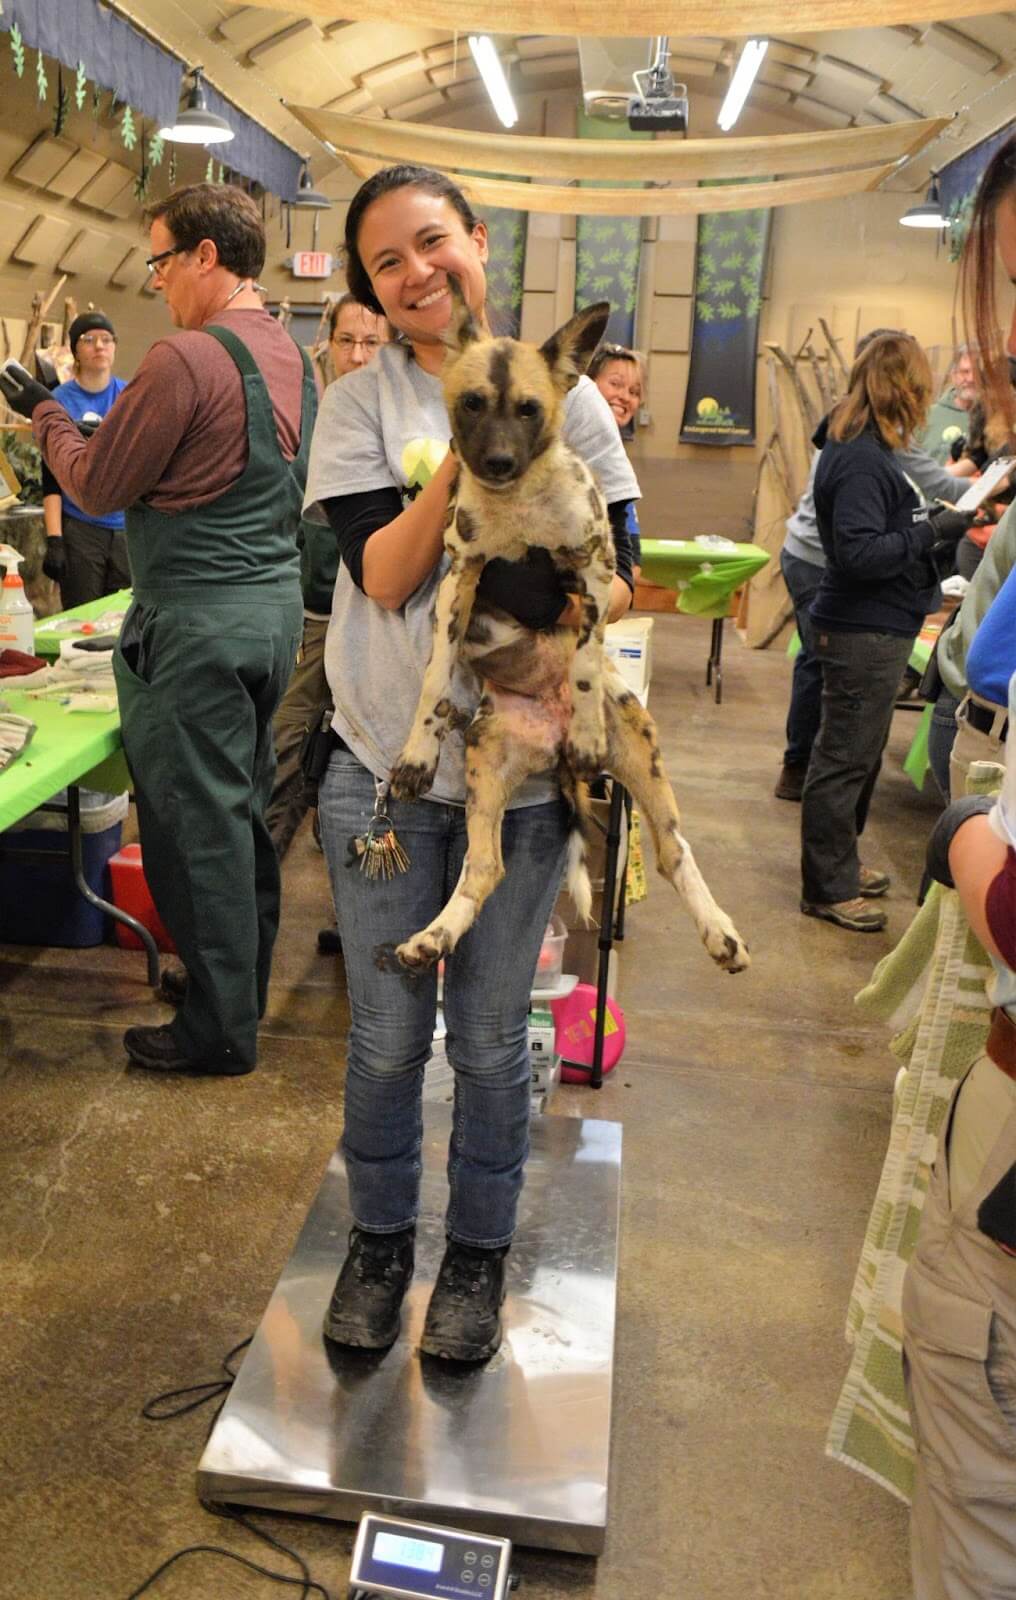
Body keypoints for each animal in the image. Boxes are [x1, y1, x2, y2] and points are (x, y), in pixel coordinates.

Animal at [385, 283, 752, 979]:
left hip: (643, 761)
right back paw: (432, 939)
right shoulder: (460, 581)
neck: (519, 506)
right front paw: (417, 754)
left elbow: (582, 663)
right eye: (472, 404)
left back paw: (720, 933)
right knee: (484, 868)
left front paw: (584, 723)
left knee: (675, 853)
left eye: (530, 410)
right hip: (485, 761)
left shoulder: (595, 576)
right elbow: (432, 681)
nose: (498, 461)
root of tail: (550, 752)